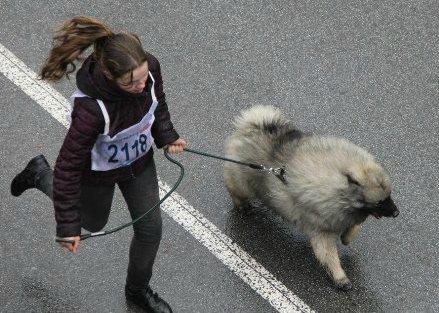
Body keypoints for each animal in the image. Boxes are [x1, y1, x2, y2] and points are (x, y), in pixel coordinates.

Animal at [225, 105, 400, 290]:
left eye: (389, 196)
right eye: (380, 202)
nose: (396, 213)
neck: (340, 192)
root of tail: (251, 125)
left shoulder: (343, 216)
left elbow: (353, 227)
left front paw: (346, 237)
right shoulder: (320, 229)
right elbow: (329, 255)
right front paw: (340, 277)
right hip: (242, 182)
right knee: (235, 190)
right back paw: (243, 206)